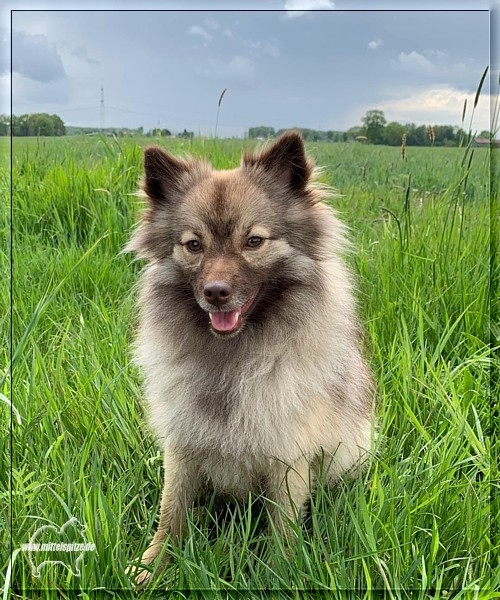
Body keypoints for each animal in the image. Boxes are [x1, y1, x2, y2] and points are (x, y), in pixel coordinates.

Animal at [127, 131, 374, 584]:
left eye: (254, 241)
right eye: (194, 245)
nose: (216, 292)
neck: (231, 356)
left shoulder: (289, 458)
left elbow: (283, 527)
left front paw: (279, 574)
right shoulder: (182, 448)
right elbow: (171, 513)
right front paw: (152, 567)